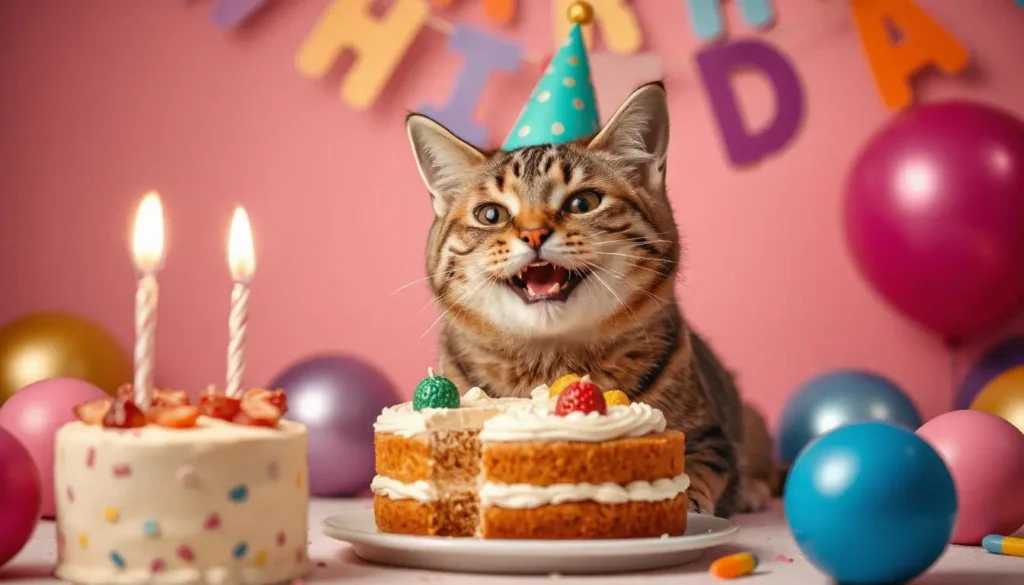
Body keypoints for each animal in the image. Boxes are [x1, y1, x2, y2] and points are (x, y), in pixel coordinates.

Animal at [403, 82, 770, 516]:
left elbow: (699, 464)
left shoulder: (711, 434)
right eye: (491, 215)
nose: (533, 233)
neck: (552, 360)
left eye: (583, 203)